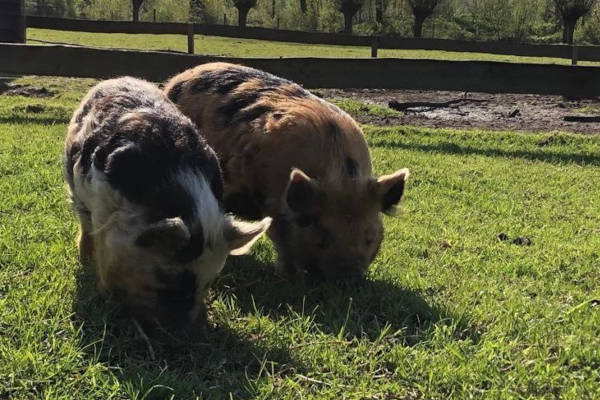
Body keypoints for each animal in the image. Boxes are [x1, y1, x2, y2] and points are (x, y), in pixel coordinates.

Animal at [63, 78, 270, 332]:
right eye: (169, 279)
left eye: (209, 280)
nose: (187, 329)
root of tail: (118, 79)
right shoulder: (102, 208)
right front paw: (105, 293)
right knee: (84, 223)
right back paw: (85, 255)